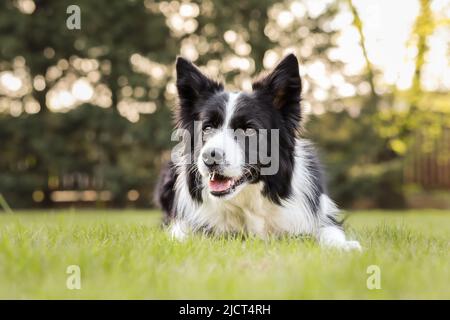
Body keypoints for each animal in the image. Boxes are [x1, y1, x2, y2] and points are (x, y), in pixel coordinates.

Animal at [156, 53, 360, 250]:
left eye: (248, 130)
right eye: (207, 128)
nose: (209, 157)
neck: (248, 198)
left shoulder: (319, 216)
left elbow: (330, 231)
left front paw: (344, 246)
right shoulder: (185, 223)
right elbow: (183, 234)